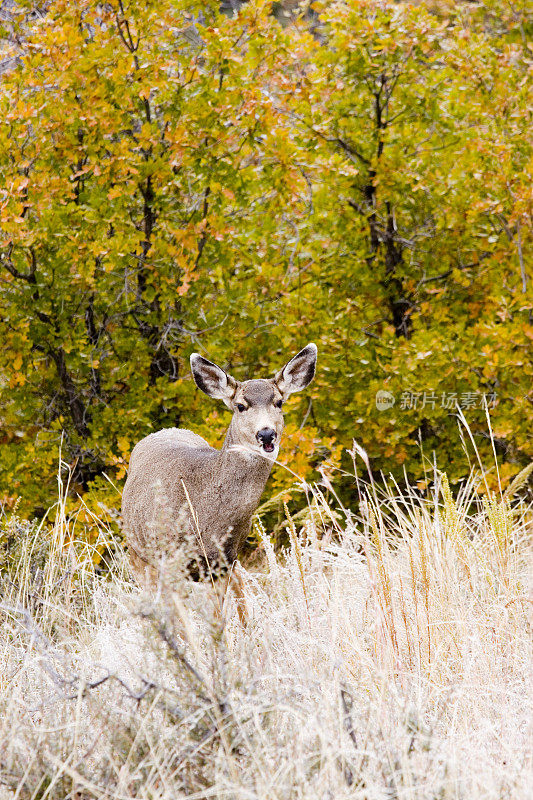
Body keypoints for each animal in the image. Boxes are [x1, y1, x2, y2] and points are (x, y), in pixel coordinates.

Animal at [122, 340, 316, 592]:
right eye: (241, 406)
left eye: (279, 402)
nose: (266, 434)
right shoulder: (170, 559)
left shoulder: (224, 561)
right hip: (137, 552)